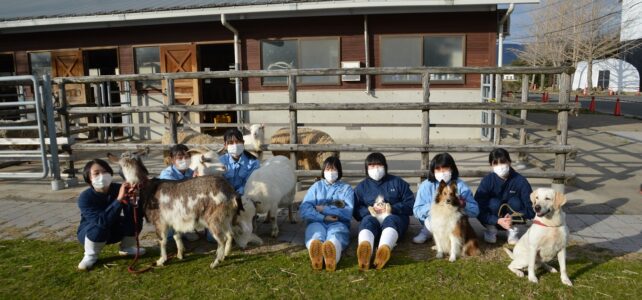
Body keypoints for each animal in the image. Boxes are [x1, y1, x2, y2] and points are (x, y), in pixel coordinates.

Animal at [107, 150, 240, 270]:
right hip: (225, 217)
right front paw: (180, 254)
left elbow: (162, 240)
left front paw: (161, 260)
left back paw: (215, 263)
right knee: (230, 234)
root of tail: (230, 192)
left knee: (222, 239)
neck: (147, 188)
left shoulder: (160, 221)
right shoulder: (174, 219)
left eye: (120, 168)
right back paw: (225, 255)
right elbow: (177, 236)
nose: (130, 186)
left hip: (213, 218)